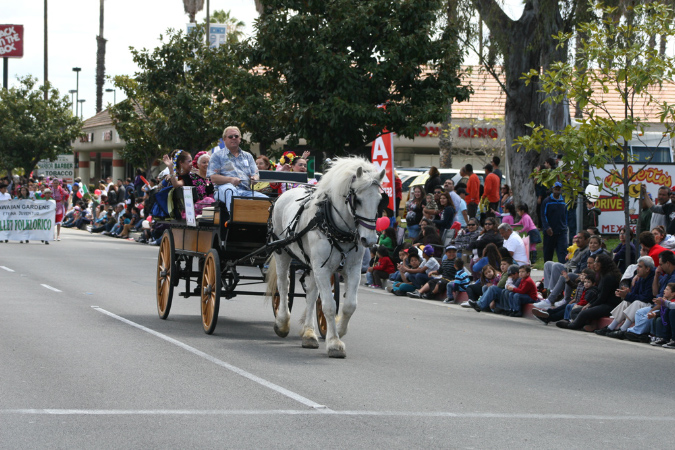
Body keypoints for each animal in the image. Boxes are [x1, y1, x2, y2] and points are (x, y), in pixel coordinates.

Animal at [268, 158, 386, 358]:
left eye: (379, 200)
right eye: (358, 199)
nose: (369, 240)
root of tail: (286, 192)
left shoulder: (352, 269)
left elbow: (349, 305)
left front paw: (339, 329)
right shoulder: (322, 269)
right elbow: (329, 305)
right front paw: (334, 343)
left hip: (311, 264)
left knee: (311, 293)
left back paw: (309, 334)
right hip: (282, 252)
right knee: (283, 286)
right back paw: (282, 323)